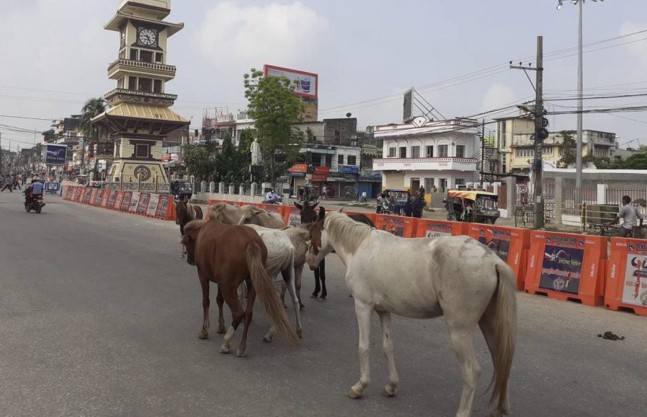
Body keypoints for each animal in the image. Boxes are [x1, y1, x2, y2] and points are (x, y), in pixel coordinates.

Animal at [181, 219, 300, 356]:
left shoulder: (204, 276)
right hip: (260, 280)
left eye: (186, 242)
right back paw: (244, 346)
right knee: (251, 312)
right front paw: (221, 326)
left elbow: (206, 301)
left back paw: (227, 343)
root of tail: (251, 241)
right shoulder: (221, 281)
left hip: (233, 284)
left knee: (239, 312)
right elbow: (219, 300)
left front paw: (204, 330)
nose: (189, 260)